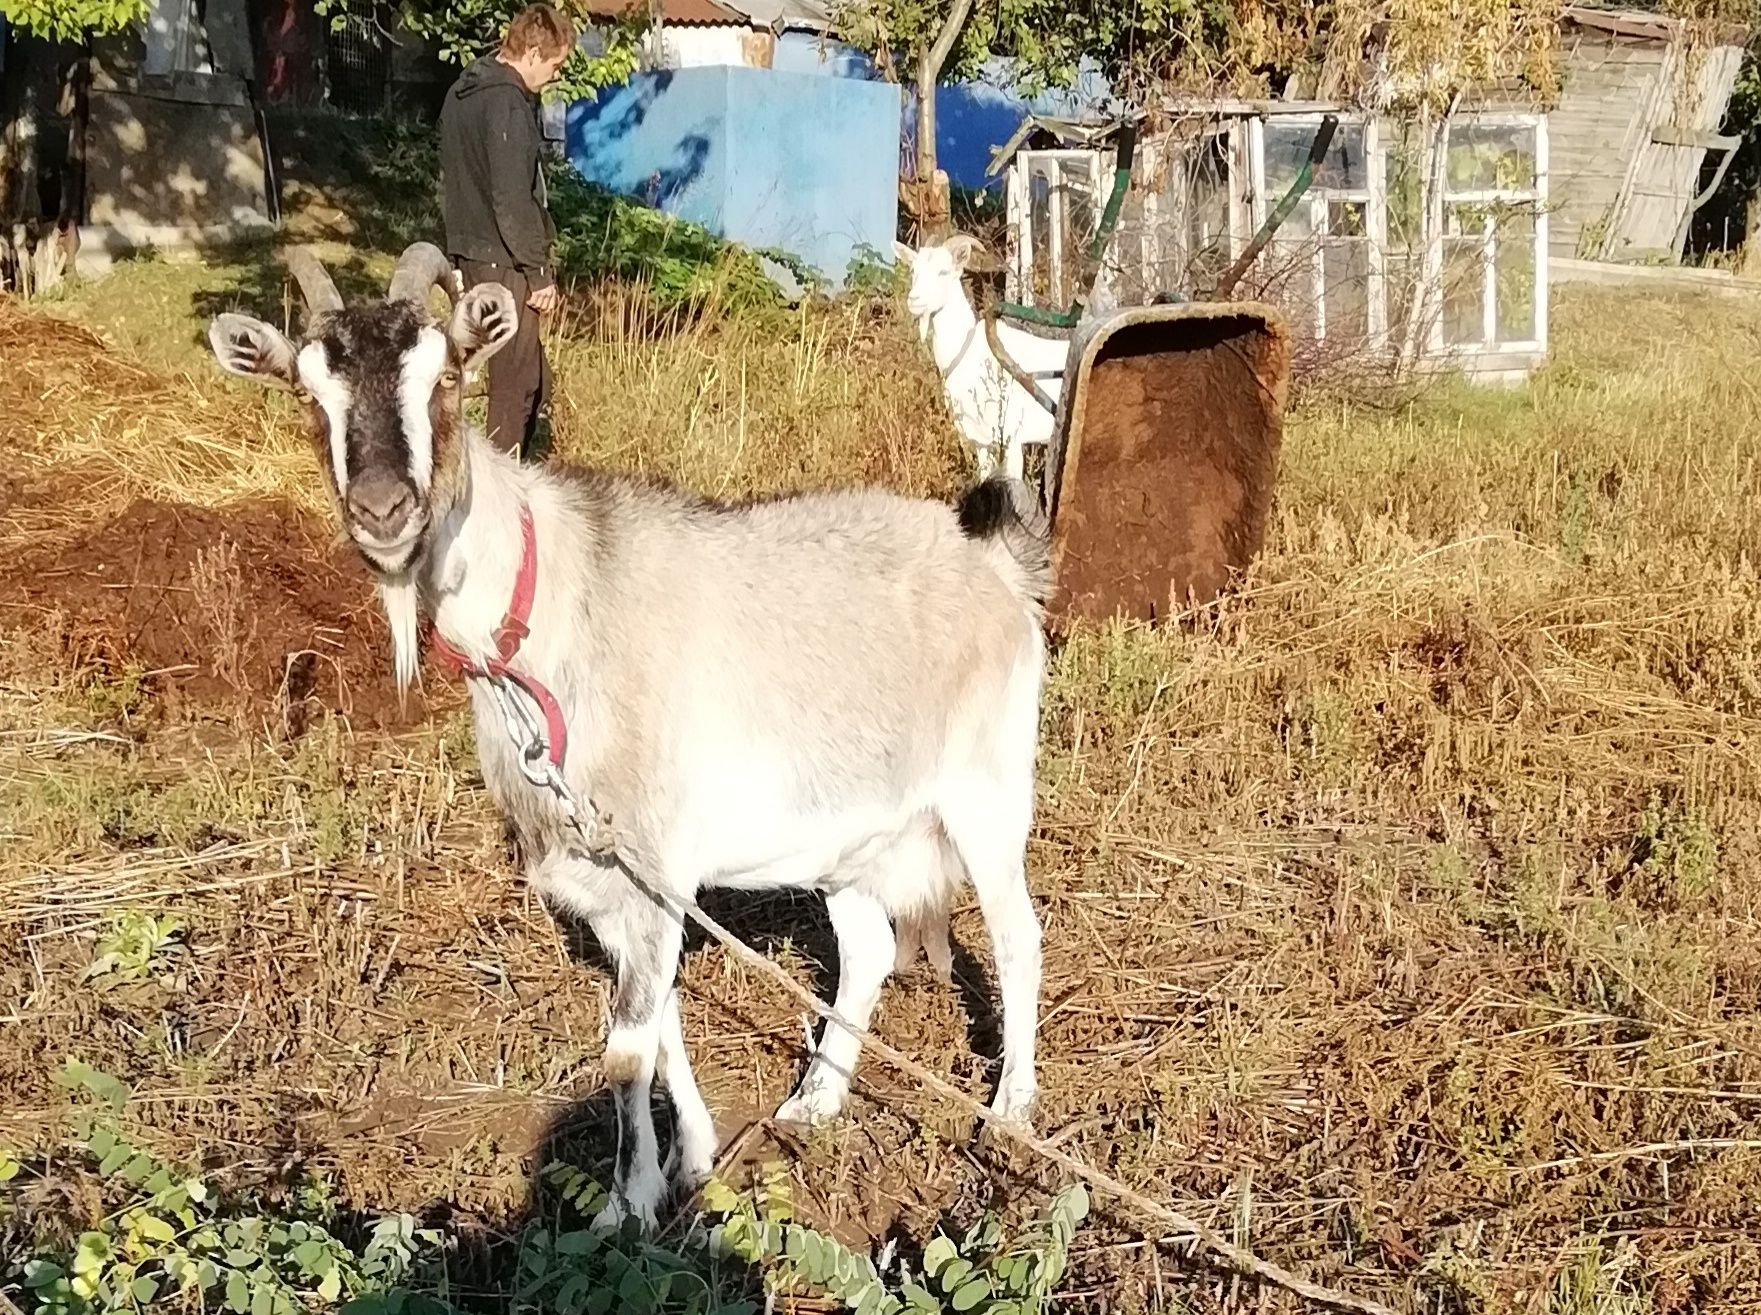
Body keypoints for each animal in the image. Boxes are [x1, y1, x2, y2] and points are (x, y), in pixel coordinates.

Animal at [213, 244, 1049, 1232]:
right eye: (307, 392)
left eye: (447, 375)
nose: (383, 509)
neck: (554, 599)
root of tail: (990, 564)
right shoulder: (614, 878)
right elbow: (657, 1028)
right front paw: (678, 1167)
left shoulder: (651, 855)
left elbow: (624, 1044)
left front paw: (618, 1209)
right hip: (850, 828)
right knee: (869, 946)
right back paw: (815, 1100)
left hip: (987, 789)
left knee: (1018, 935)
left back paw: (1009, 1111)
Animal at [894, 235, 1070, 482]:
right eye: (913, 270)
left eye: (943, 271)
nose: (914, 300)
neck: (967, 351)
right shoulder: (980, 440)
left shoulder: (1012, 437)